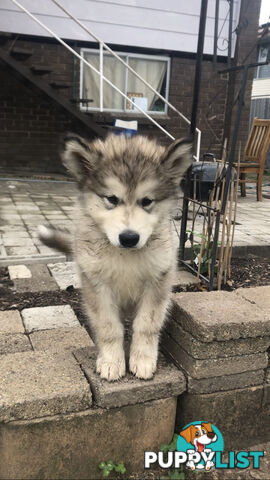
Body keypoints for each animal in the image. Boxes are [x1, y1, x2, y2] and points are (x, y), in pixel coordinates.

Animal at [39, 135, 192, 382]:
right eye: (112, 198)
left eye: (146, 201)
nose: (129, 238)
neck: (125, 255)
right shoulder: (97, 285)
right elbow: (109, 327)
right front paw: (112, 361)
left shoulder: (157, 281)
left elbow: (146, 324)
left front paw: (143, 359)